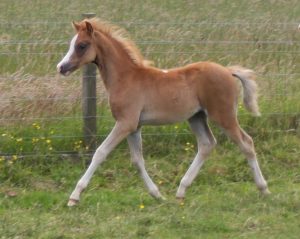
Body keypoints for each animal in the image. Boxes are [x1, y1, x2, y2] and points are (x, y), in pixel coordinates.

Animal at [55, 17, 270, 206]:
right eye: (72, 44)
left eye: (82, 45)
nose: (61, 67)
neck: (126, 78)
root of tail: (227, 70)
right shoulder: (134, 127)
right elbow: (137, 160)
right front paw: (157, 195)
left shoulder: (125, 123)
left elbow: (100, 153)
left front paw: (74, 197)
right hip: (196, 117)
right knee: (207, 144)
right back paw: (181, 191)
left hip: (223, 115)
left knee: (246, 143)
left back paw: (263, 189)